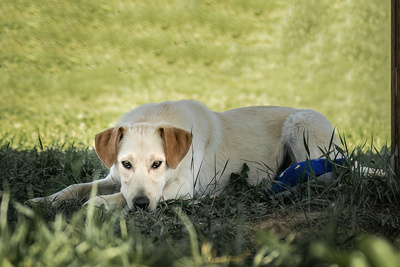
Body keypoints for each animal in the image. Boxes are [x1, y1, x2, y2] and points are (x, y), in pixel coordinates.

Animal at [29, 100, 340, 211]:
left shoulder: (181, 188)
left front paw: (101, 203)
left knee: (323, 175)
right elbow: (76, 187)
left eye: (158, 163)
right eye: (126, 163)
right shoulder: (115, 177)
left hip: (301, 126)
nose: (141, 205)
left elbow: (117, 196)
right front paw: (44, 200)